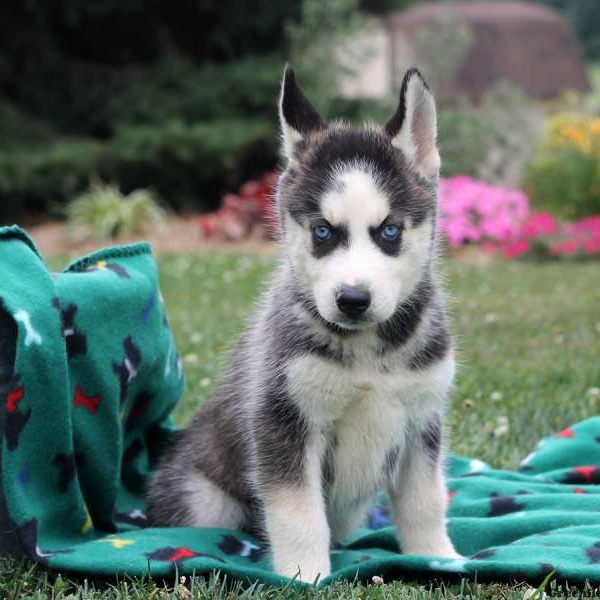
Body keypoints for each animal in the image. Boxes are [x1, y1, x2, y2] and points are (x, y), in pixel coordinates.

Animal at [148, 64, 462, 580]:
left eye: (389, 231)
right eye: (322, 231)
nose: (352, 300)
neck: (366, 353)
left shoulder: (422, 422)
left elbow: (425, 500)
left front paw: (438, 556)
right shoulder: (283, 421)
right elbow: (297, 511)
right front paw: (304, 574)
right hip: (204, 496)